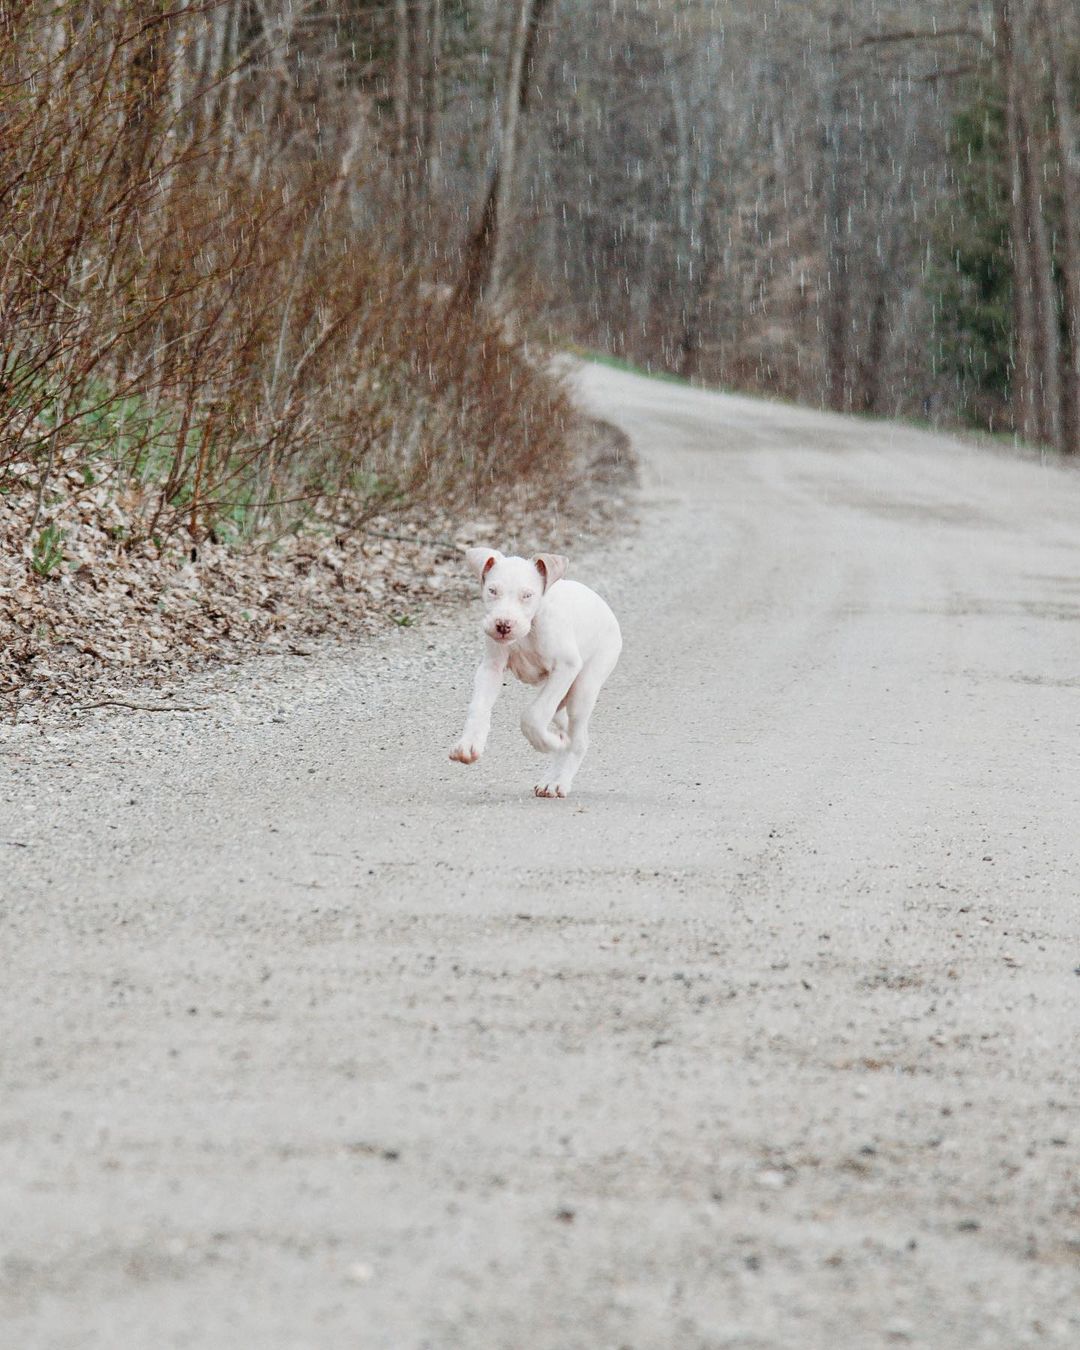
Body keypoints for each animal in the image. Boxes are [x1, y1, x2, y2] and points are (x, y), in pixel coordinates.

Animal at [448, 545, 621, 793]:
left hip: (583, 687)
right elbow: (478, 707)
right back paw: (551, 776)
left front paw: (547, 743)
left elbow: (532, 715)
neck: (529, 630)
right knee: (567, 728)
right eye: (492, 591)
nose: (503, 625)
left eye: (527, 595)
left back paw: (559, 781)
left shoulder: (566, 666)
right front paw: (468, 745)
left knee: (577, 740)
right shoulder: (491, 668)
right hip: (562, 700)